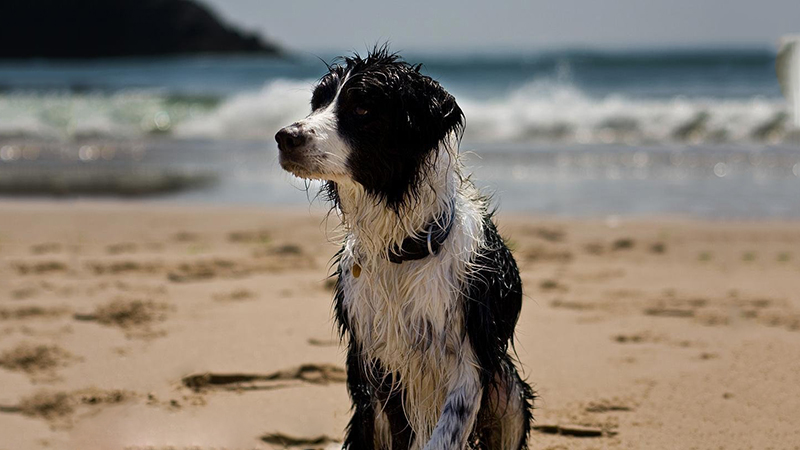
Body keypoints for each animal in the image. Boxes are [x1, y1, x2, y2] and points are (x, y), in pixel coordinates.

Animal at [276, 47, 532, 448]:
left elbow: (446, 430)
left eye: (362, 108)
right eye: (318, 104)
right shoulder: (380, 367)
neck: (402, 248)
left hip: (509, 390)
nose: (285, 137)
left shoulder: (471, 359)